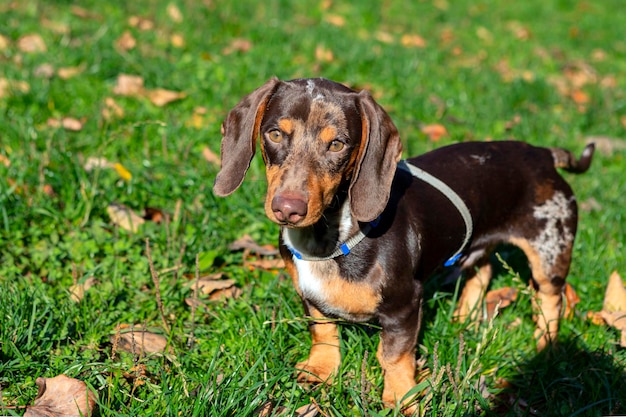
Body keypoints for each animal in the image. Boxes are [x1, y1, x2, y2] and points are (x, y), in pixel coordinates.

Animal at [212, 78, 592, 412]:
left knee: (550, 299)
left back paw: (546, 346)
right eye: (275, 134)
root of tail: (542, 154)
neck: (330, 239)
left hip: (550, 250)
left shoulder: (405, 306)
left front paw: (400, 399)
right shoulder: (309, 296)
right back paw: (464, 319)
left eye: (337, 144)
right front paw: (321, 371)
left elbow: (393, 357)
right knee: (482, 271)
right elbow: (323, 331)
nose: (288, 208)